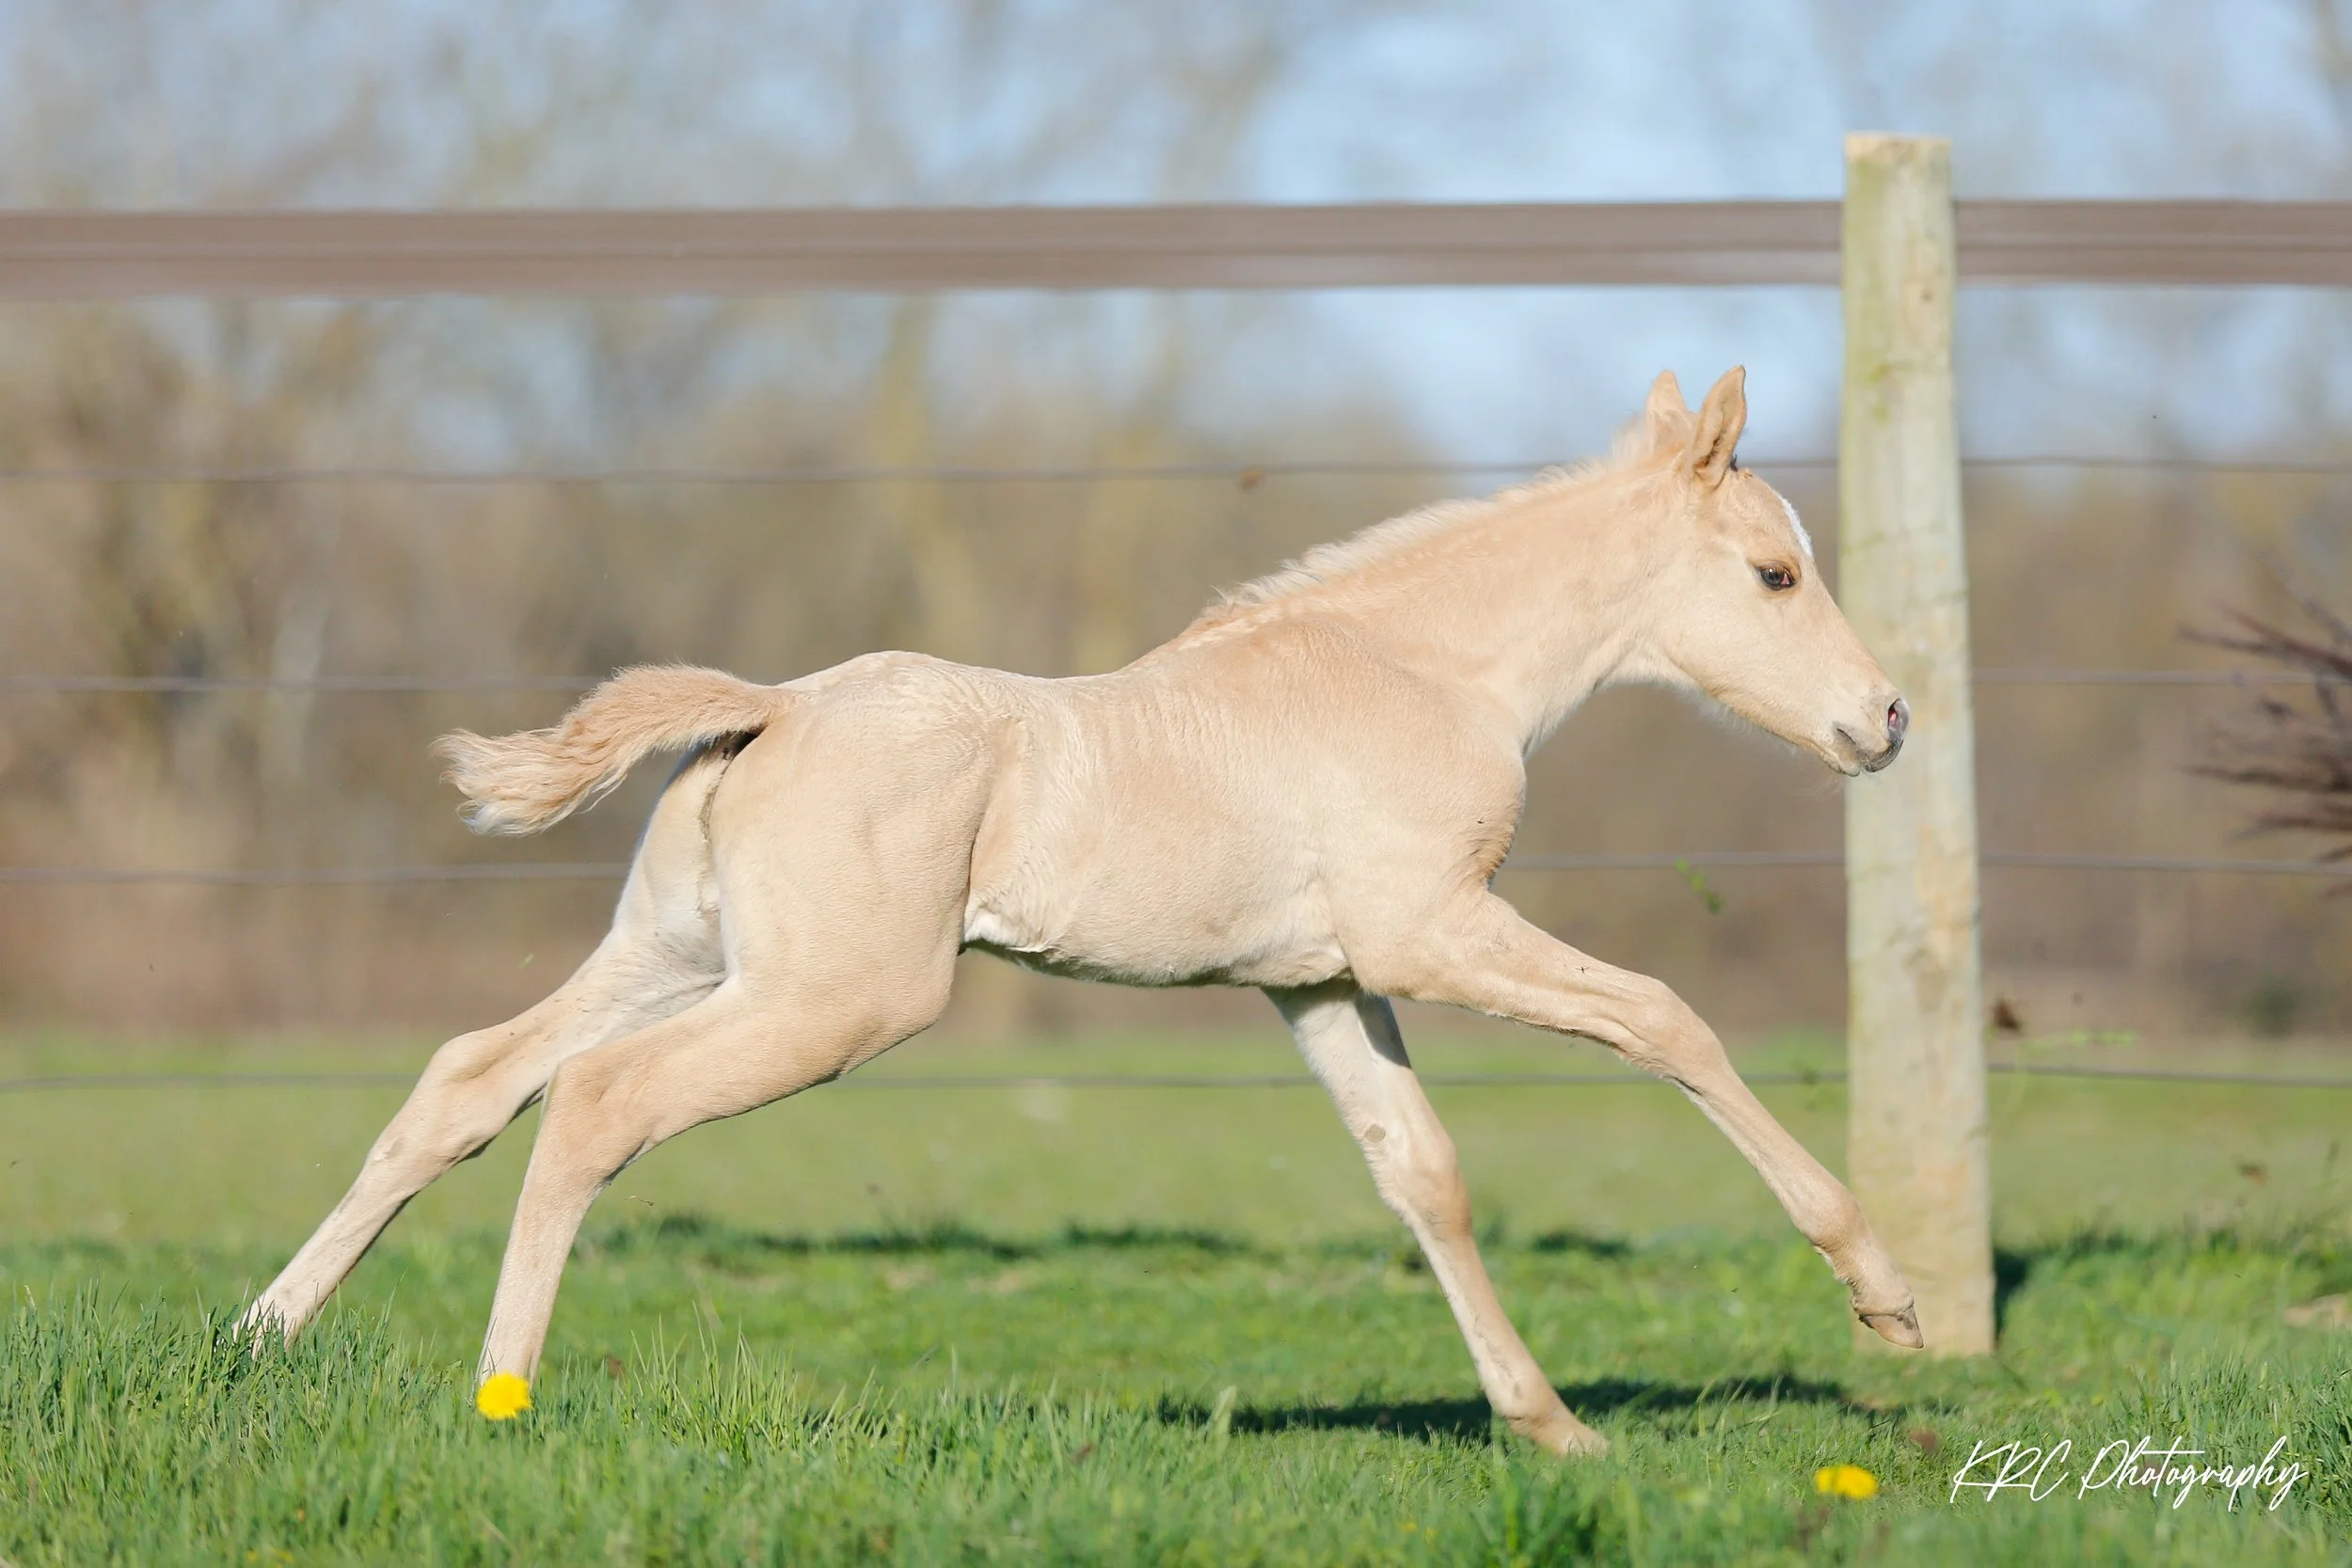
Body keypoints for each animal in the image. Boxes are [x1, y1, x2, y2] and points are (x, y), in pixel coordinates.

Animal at [240, 366, 1920, 1458]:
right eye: (1775, 574)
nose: (1887, 720)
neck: (1421, 670)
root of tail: (772, 706)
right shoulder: (1430, 931)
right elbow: (1666, 1020)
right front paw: (1885, 1296)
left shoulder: (1320, 980)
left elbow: (1423, 1173)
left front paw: (1552, 1424)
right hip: (829, 1000)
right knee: (593, 1100)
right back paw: (500, 1392)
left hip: (676, 953)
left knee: (468, 1079)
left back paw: (265, 1331)